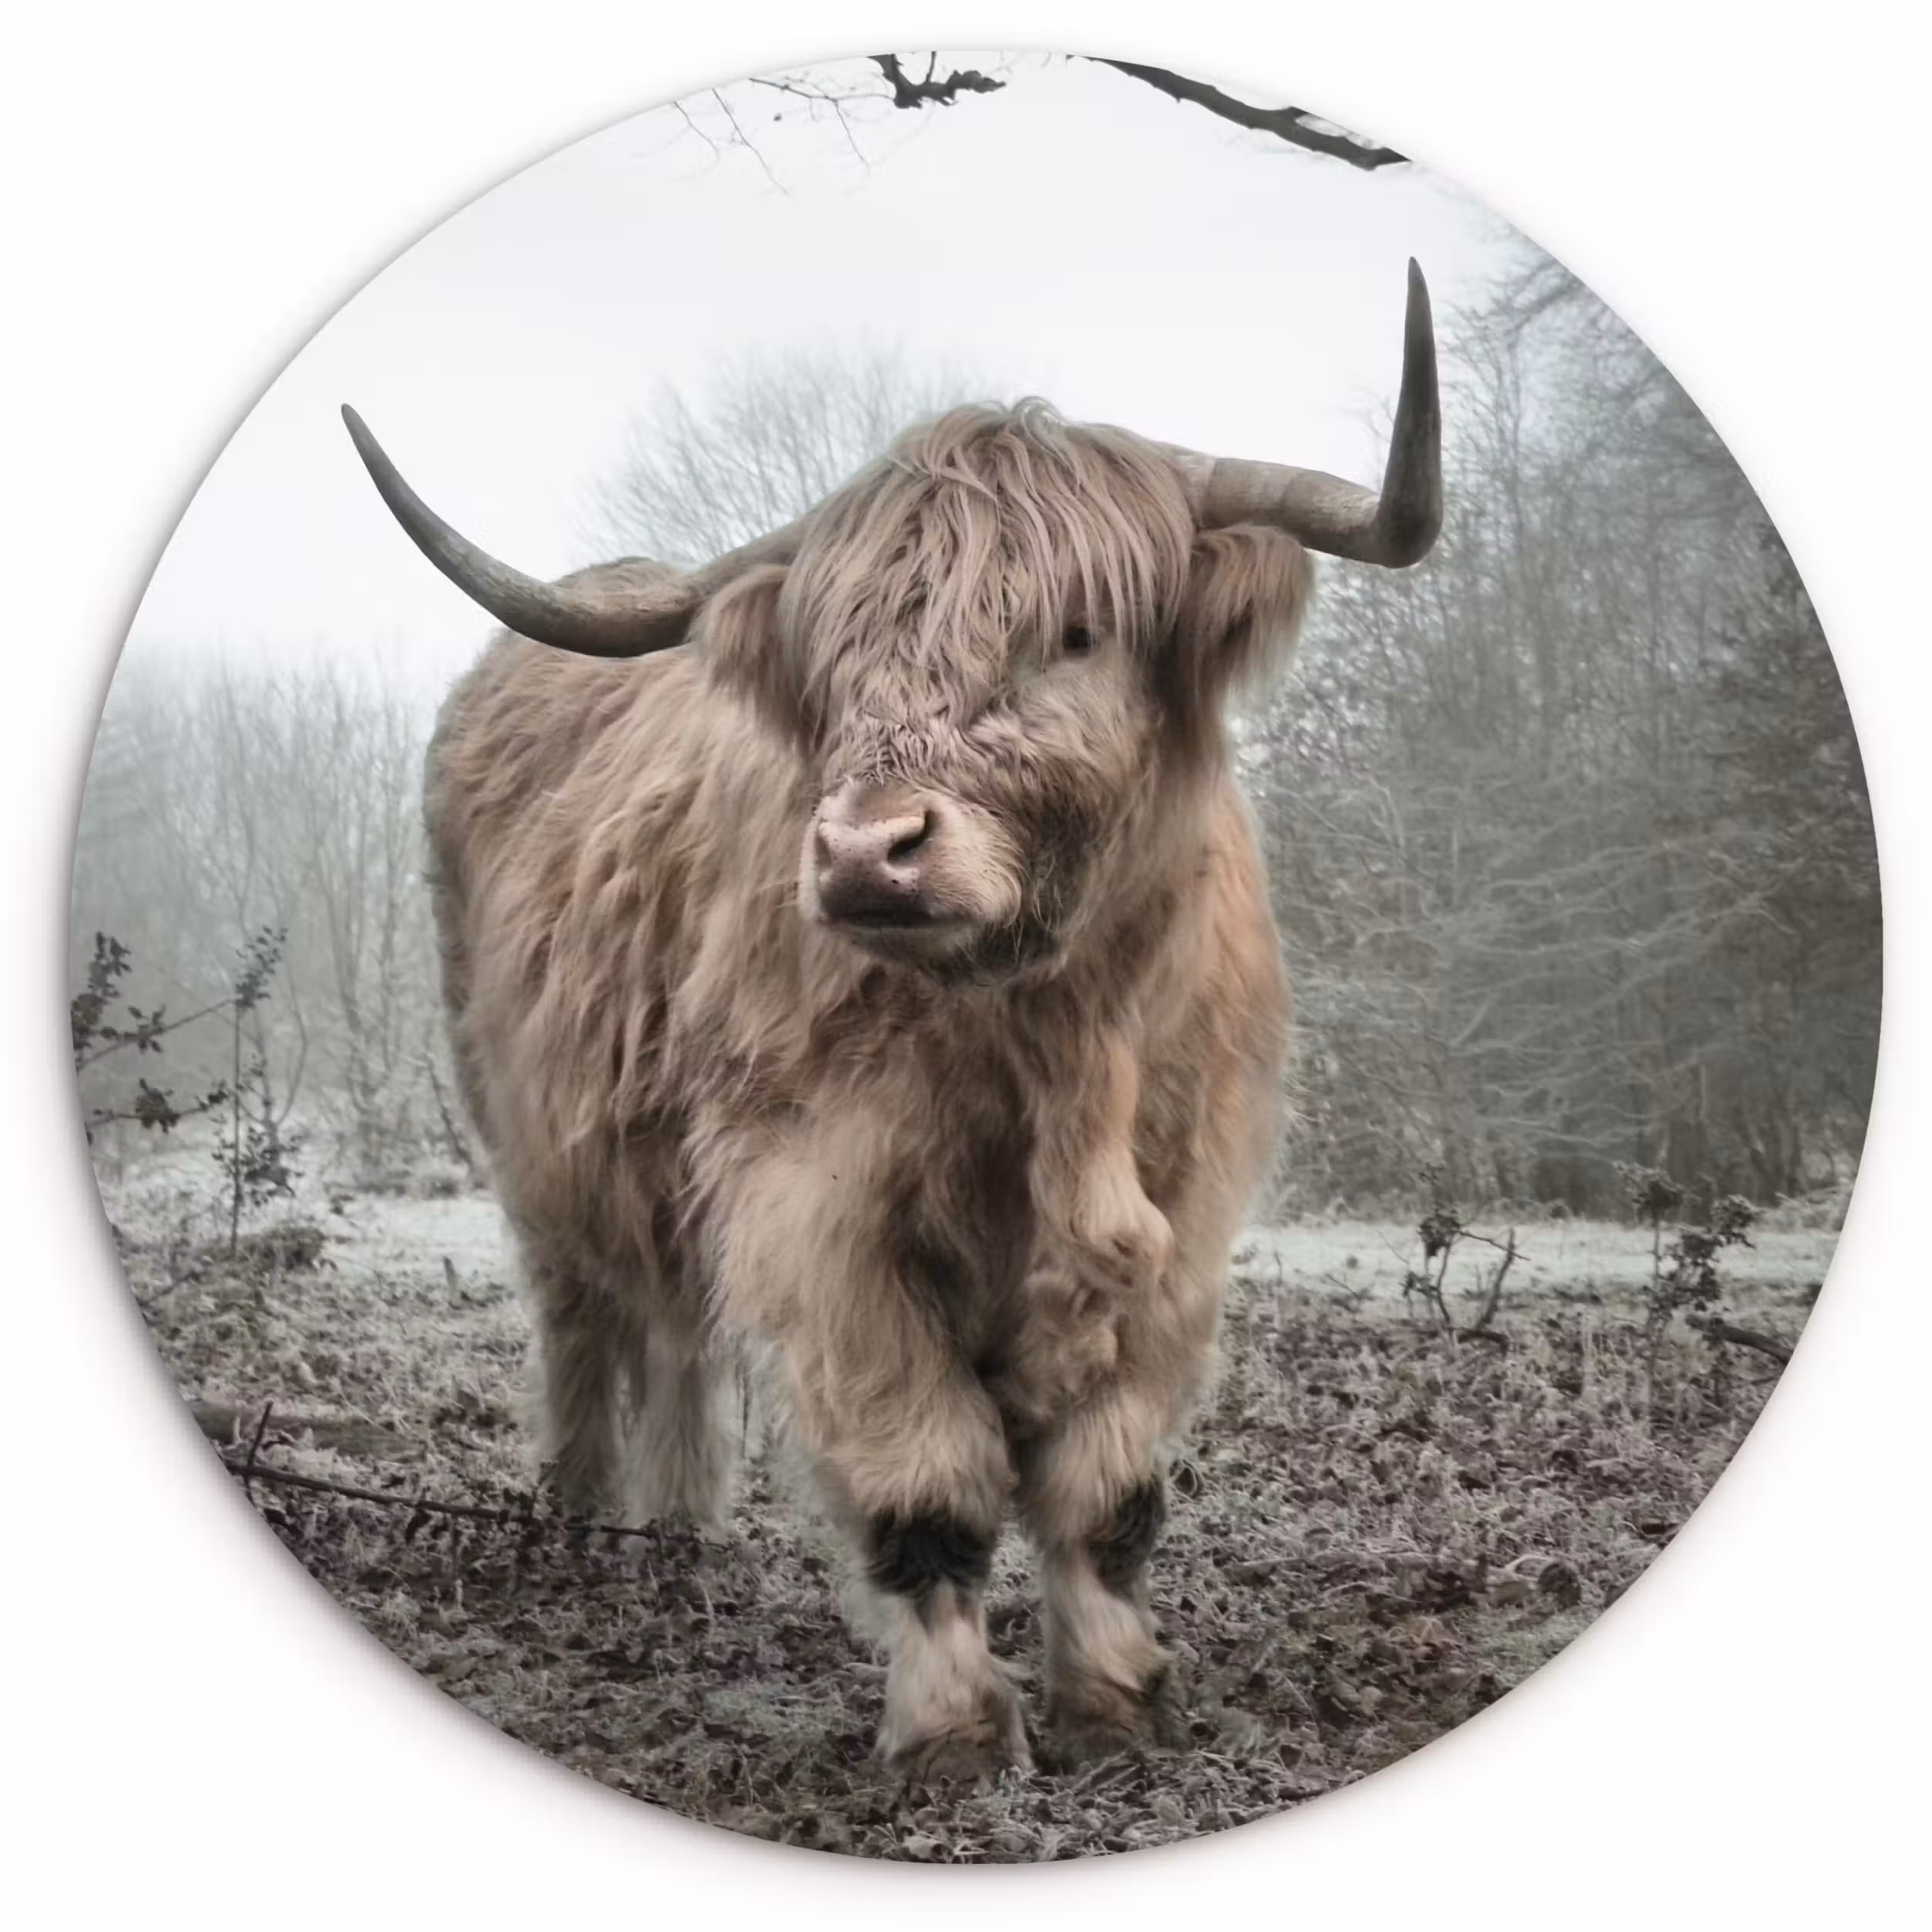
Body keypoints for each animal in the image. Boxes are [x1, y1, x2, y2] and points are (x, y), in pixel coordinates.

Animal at [342, 262, 1441, 1781]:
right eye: (838, 661)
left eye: (1077, 632)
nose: (869, 851)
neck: (1050, 1041)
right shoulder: (820, 1209)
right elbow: (928, 1485)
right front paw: (956, 1736)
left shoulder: (1185, 1214)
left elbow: (1107, 1490)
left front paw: (1115, 1704)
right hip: (529, 1132)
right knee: (584, 1319)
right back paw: (582, 1523)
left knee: (675, 1329)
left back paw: (677, 1532)